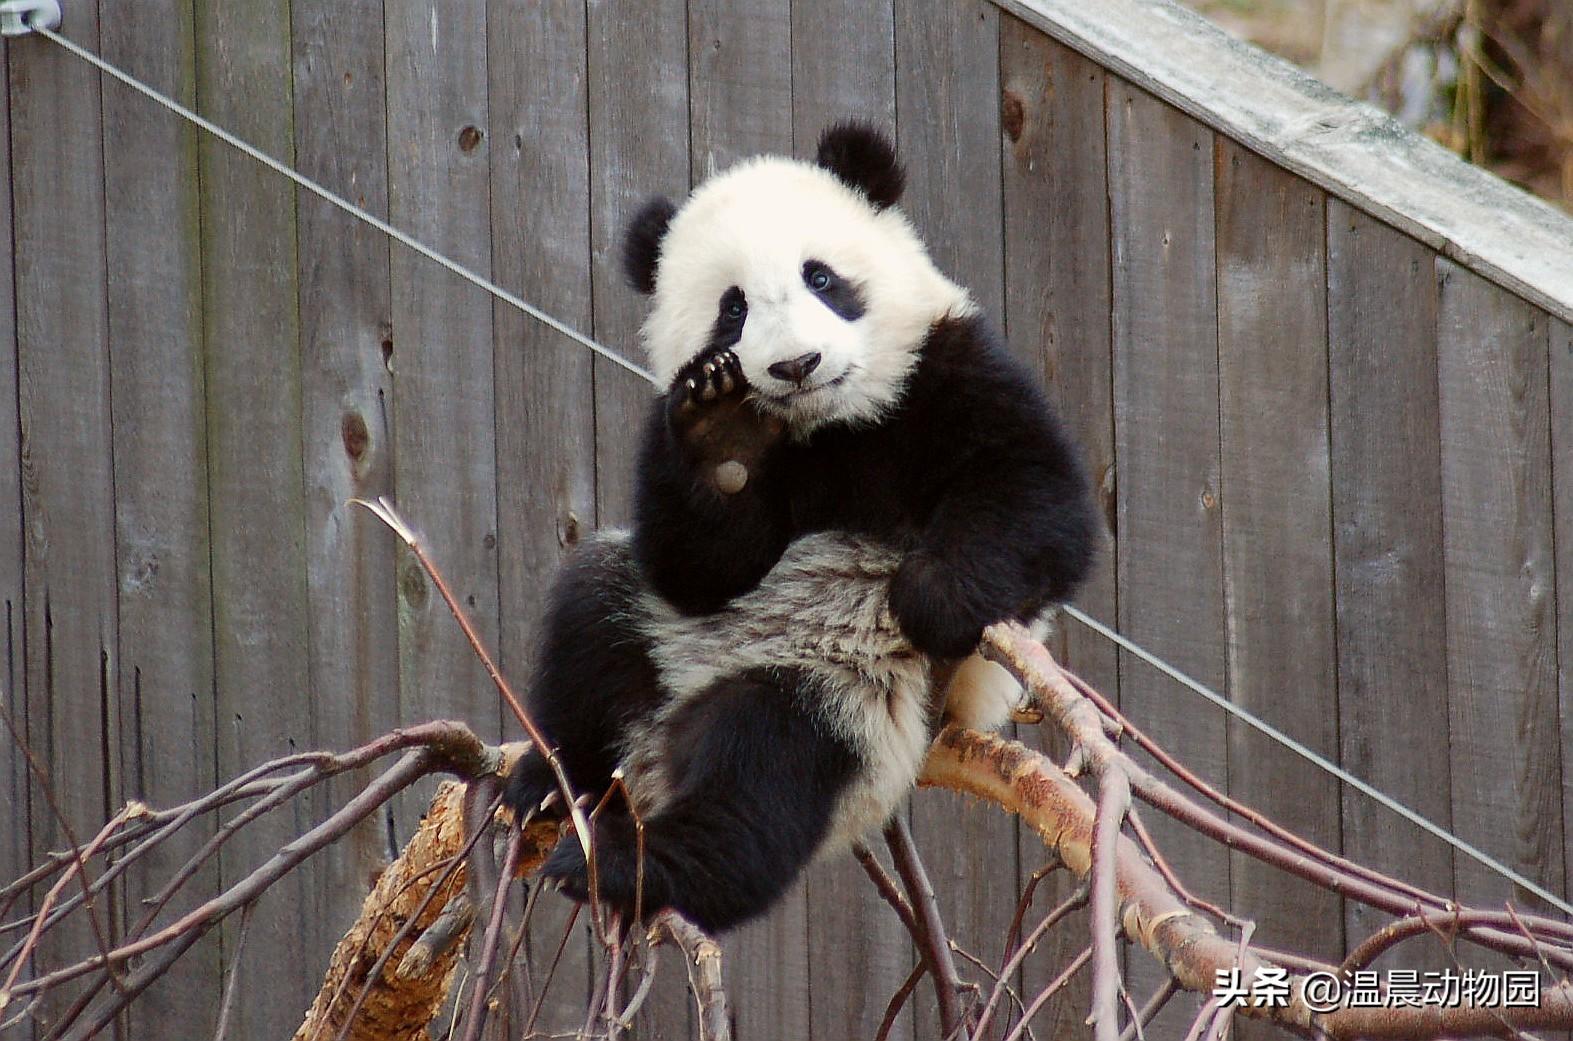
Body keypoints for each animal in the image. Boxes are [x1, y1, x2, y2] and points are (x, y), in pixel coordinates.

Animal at [503, 122, 1094, 937]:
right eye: (733, 309)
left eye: (821, 277)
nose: (796, 364)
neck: (831, 425)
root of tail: (661, 738)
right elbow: (700, 566)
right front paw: (720, 431)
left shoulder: (949, 366)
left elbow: (1036, 496)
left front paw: (932, 597)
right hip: (656, 632)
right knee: (591, 618)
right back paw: (551, 783)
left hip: (851, 694)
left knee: (764, 769)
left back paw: (641, 864)